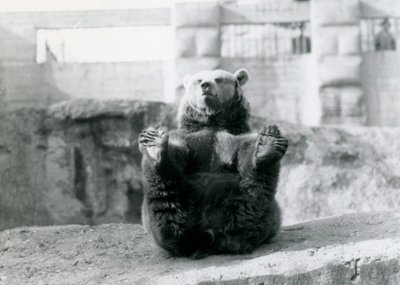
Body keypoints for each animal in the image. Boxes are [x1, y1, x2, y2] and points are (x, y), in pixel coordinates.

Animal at [138, 67, 288, 256]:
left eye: (219, 79)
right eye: (198, 80)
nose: (205, 85)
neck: (212, 123)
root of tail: (209, 236)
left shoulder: (234, 139)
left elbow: (246, 153)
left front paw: (266, 144)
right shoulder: (189, 139)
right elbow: (178, 154)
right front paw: (155, 141)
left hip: (251, 204)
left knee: (255, 190)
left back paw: (270, 143)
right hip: (170, 205)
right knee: (165, 196)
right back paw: (153, 145)